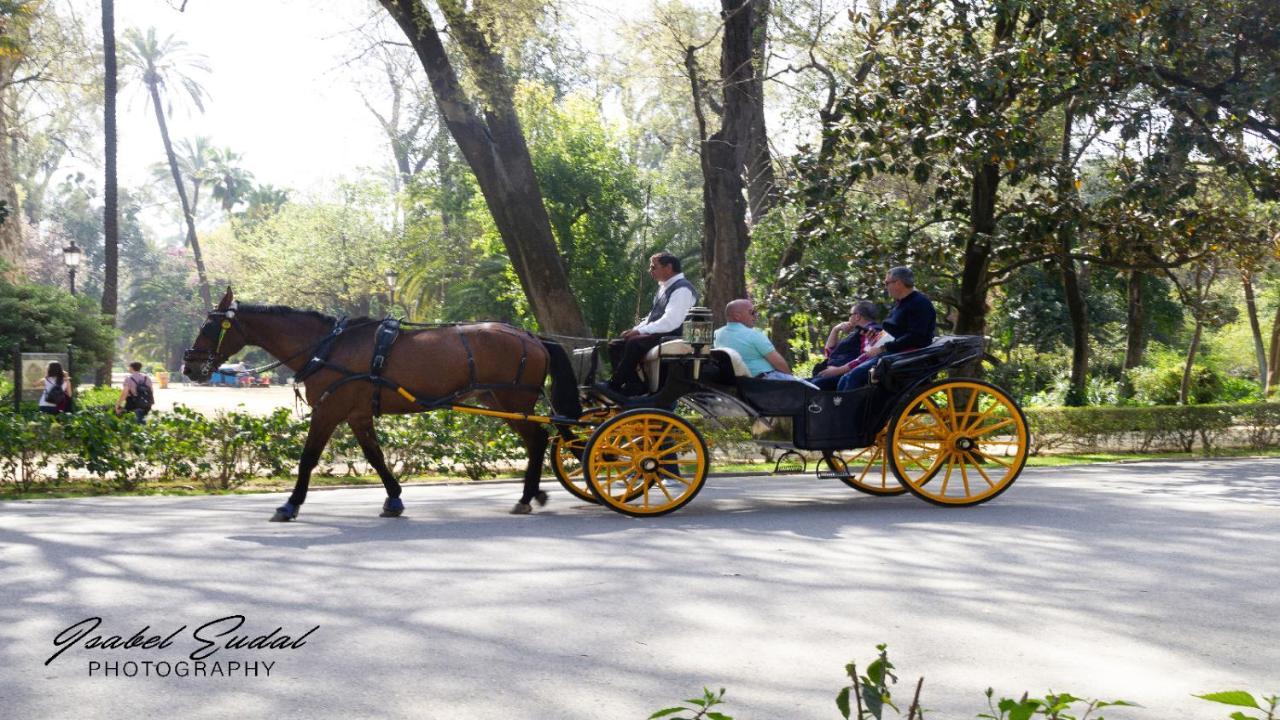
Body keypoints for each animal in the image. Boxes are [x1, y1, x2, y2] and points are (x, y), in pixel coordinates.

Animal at [180, 286, 581, 520]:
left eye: (209, 326)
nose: (189, 366)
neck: (328, 347)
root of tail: (530, 335)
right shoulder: (356, 413)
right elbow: (374, 456)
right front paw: (394, 498)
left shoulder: (329, 410)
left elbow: (308, 457)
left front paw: (290, 503)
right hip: (502, 401)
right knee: (537, 442)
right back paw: (532, 494)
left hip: (514, 398)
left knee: (538, 441)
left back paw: (528, 496)